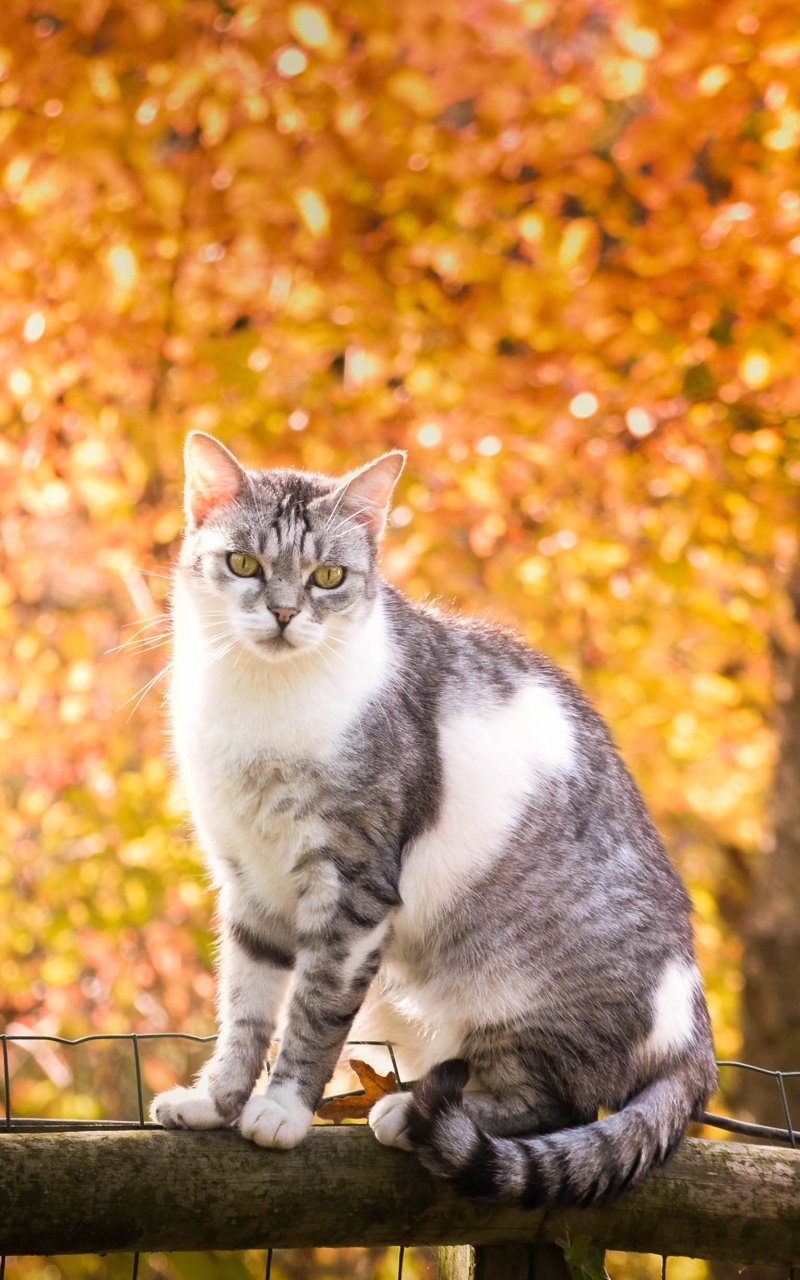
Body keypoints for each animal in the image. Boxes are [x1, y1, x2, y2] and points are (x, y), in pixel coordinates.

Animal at [151, 435, 716, 1203]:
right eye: (244, 564)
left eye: (329, 577)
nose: (285, 613)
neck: (263, 700)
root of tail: (694, 1031)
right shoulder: (248, 880)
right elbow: (245, 1009)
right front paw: (216, 1102)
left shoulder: (355, 882)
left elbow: (314, 1011)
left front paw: (282, 1109)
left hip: (515, 997)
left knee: (556, 1105)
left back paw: (405, 1111)